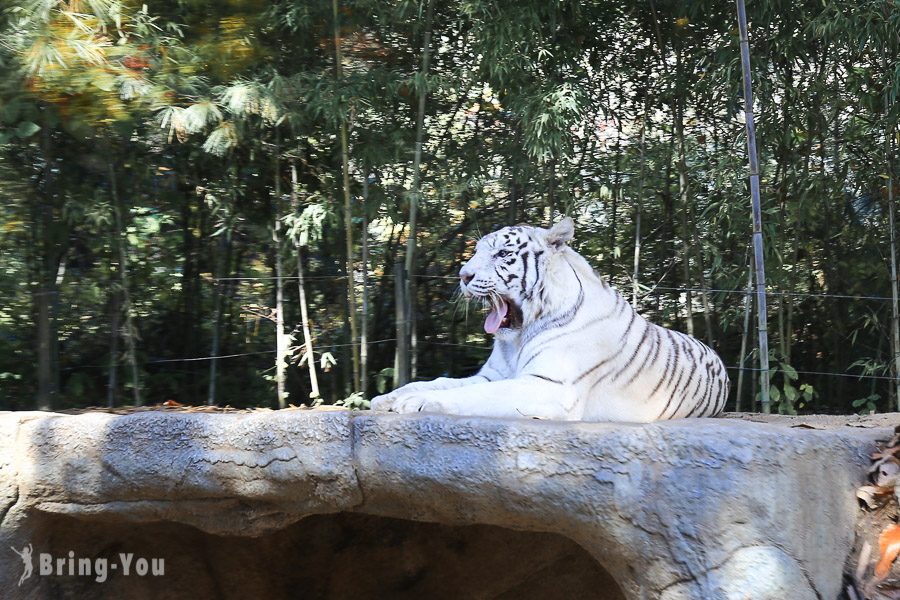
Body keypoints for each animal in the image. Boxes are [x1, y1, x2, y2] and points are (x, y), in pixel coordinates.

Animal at [372, 217, 732, 422]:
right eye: (476, 251)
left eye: (503, 254)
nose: (463, 275)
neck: (518, 337)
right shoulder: (491, 375)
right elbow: (436, 381)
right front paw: (389, 398)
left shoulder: (549, 386)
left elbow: (467, 396)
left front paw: (415, 402)